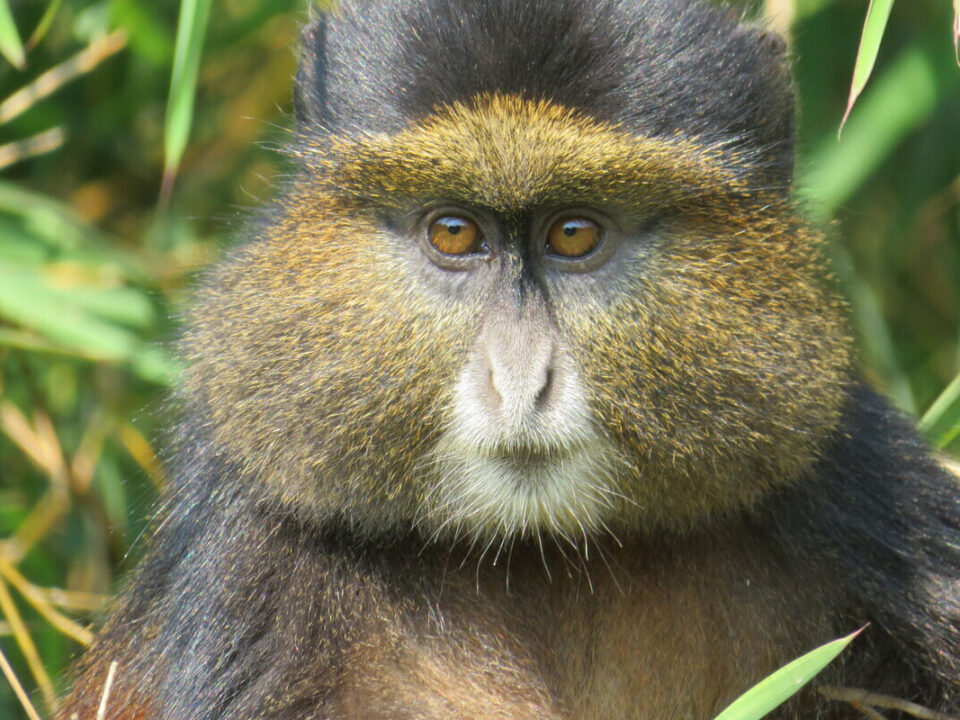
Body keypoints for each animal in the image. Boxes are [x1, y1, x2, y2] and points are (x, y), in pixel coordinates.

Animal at [56, 0, 960, 718]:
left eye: (575, 234)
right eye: (456, 233)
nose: (521, 383)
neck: (538, 557)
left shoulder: (868, 494)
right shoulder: (248, 548)